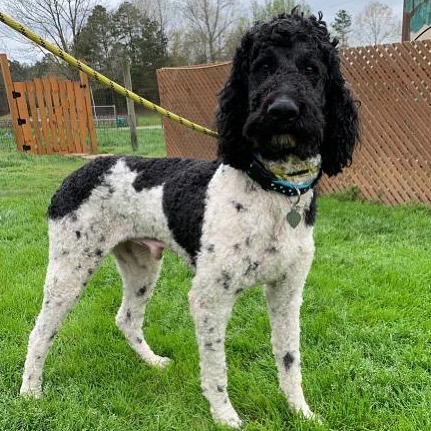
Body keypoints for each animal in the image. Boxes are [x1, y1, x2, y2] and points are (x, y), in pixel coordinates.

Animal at [20, 10, 360, 428]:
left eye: (312, 69)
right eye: (261, 67)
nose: (282, 110)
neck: (273, 189)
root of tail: (79, 173)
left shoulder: (287, 291)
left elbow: (289, 359)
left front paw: (300, 411)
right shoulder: (210, 297)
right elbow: (216, 368)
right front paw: (225, 417)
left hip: (142, 264)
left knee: (126, 319)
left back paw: (152, 363)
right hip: (69, 269)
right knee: (40, 332)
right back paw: (30, 393)